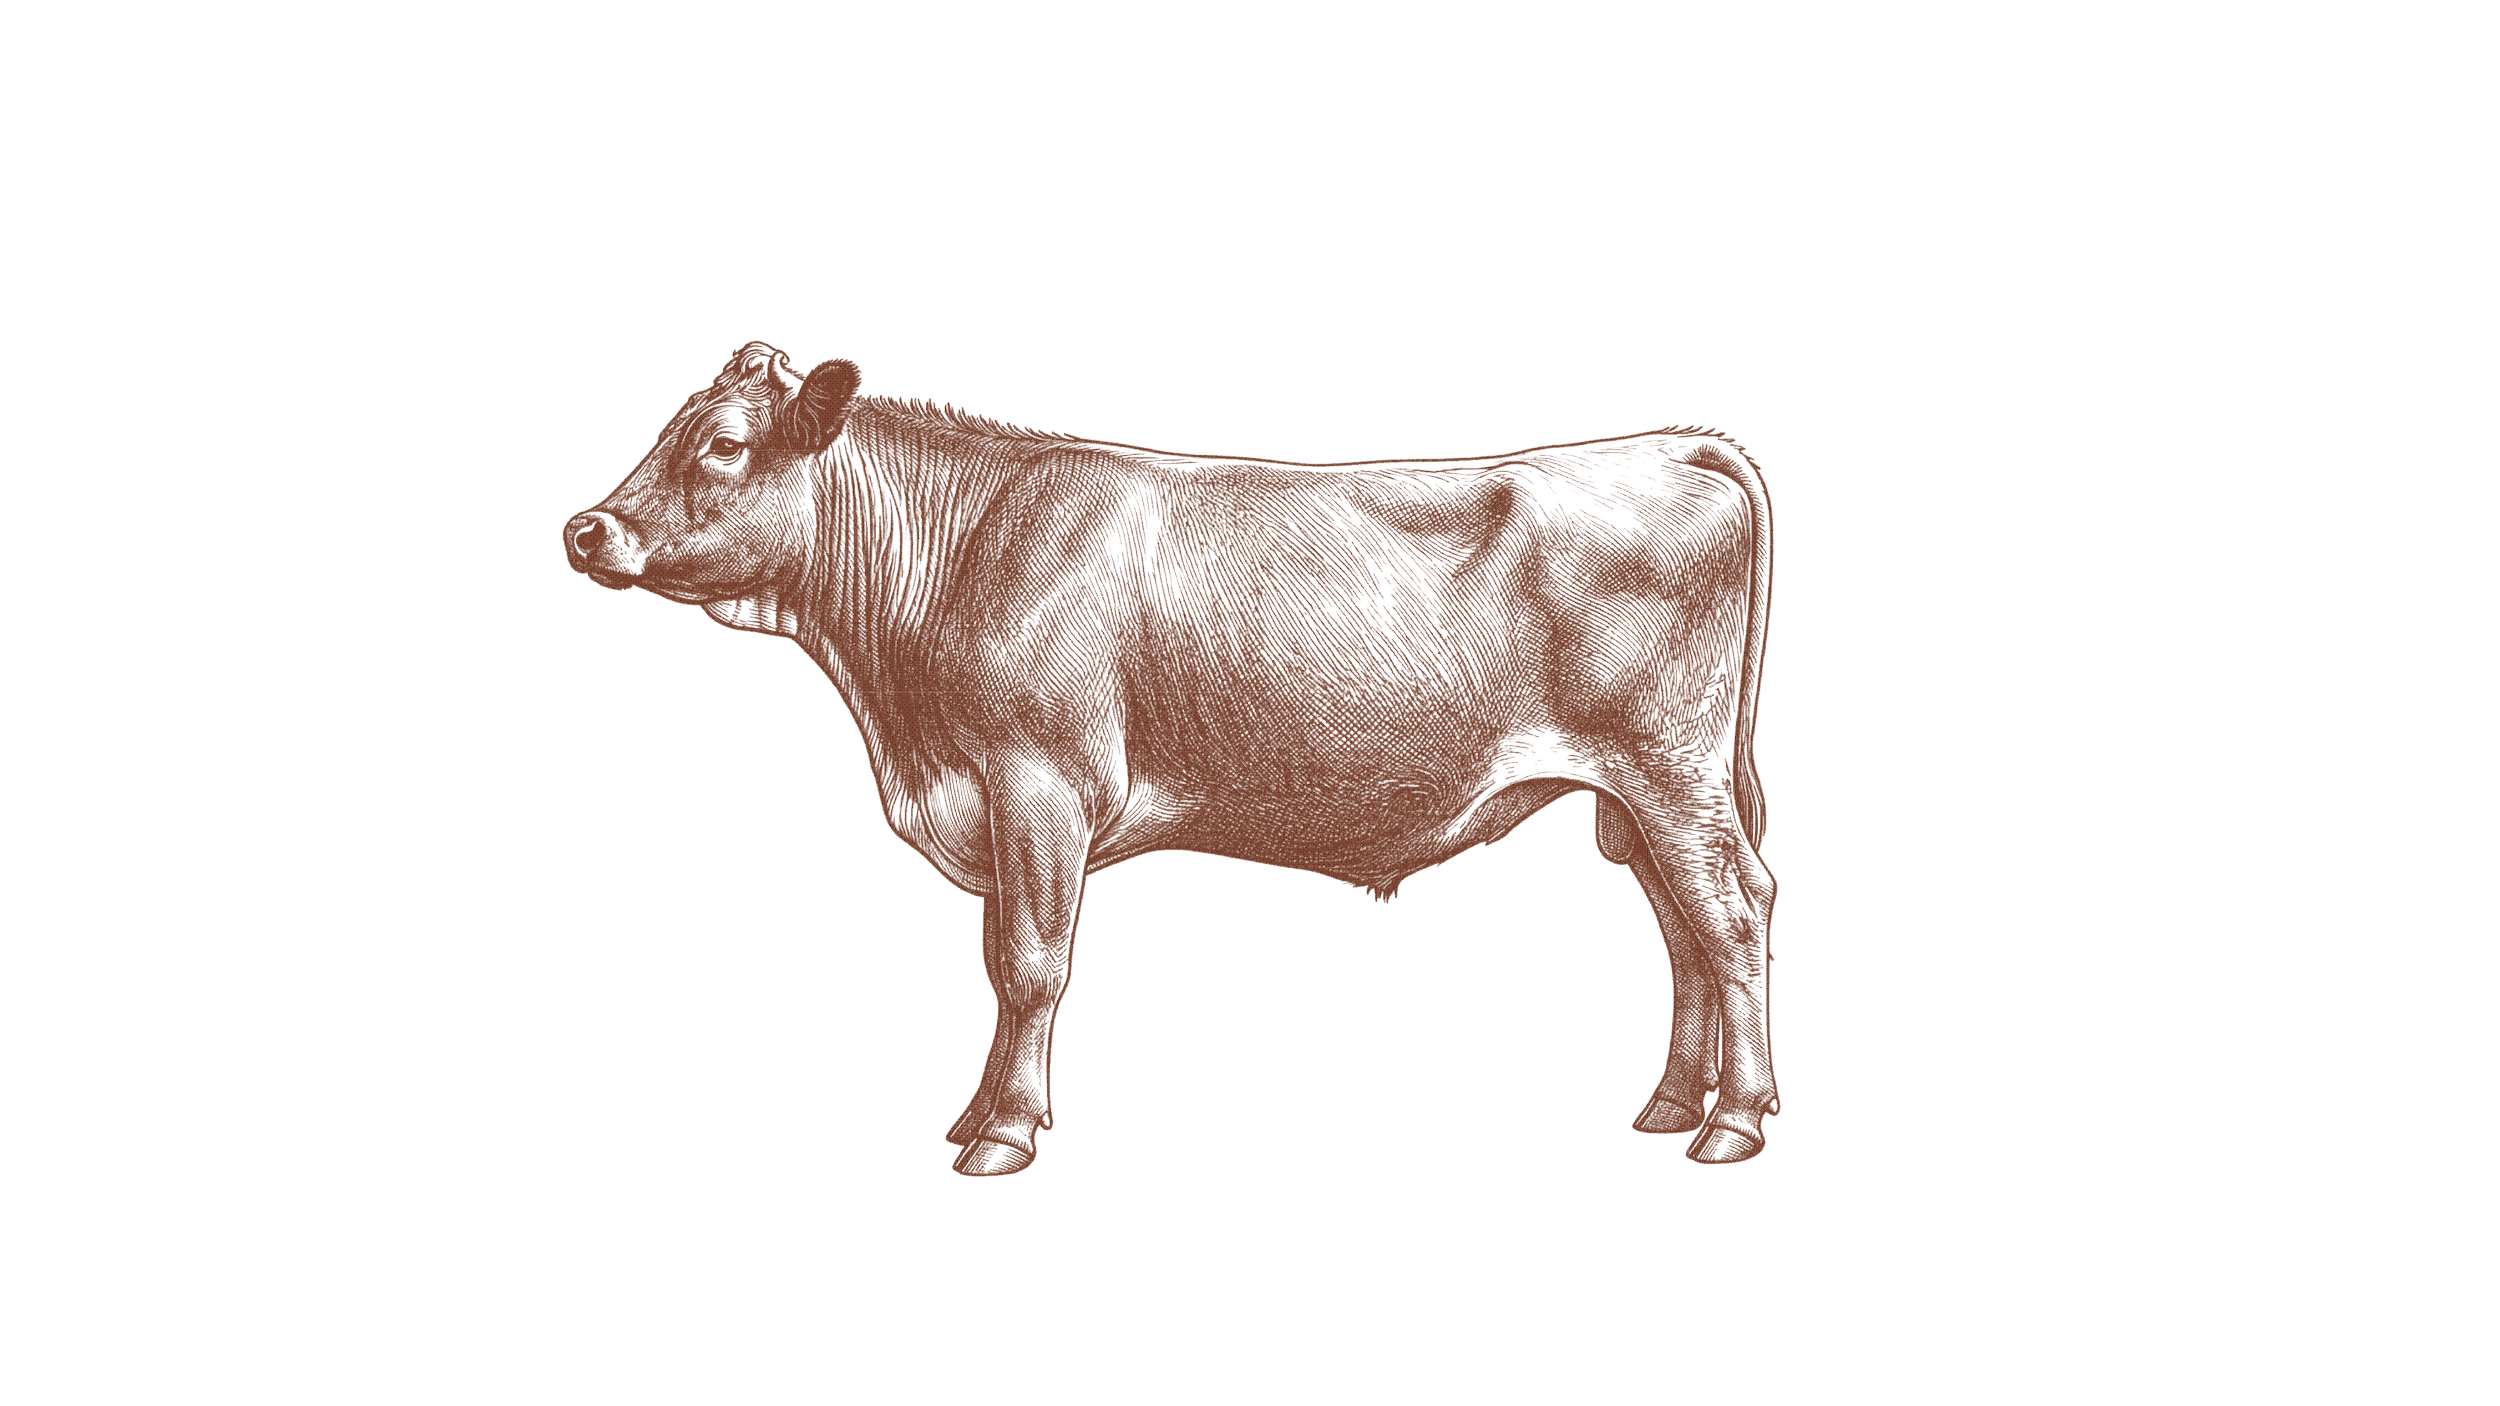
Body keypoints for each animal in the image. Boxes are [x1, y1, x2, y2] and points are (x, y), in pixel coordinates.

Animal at [561, 339, 1781, 1177]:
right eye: (671, 424)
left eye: (728, 441)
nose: (586, 530)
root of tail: (1675, 443)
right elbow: (1005, 959)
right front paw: (984, 1115)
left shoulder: (1036, 782)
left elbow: (1028, 961)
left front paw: (1003, 1133)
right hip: (1634, 787)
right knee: (1680, 921)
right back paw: (1670, 1105)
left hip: (1672, 766)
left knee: (1730, 909)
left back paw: (1732, 1119)